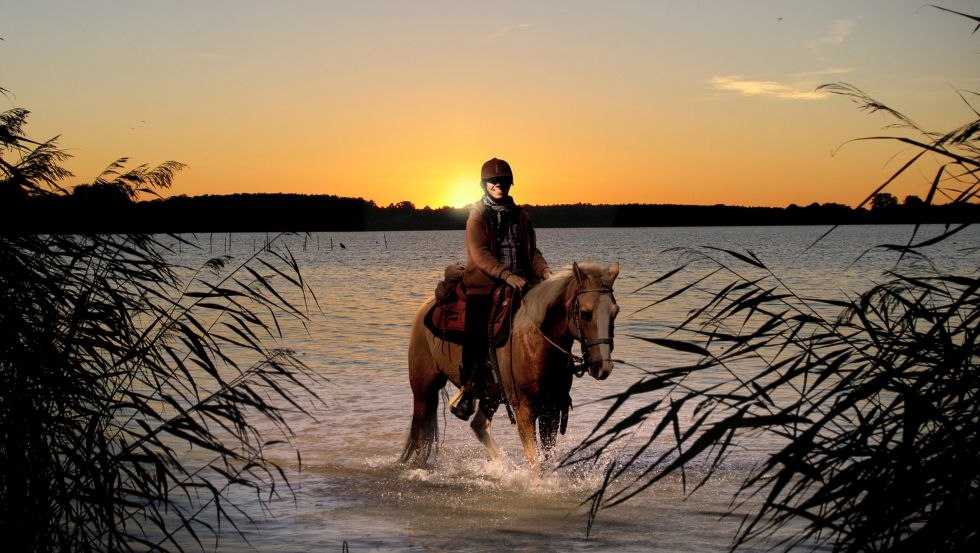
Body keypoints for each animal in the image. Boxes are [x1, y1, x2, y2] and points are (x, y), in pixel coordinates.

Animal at [400, 260, 620, 468]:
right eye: (585, 313)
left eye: (615, 312)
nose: (602, 366)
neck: (534, 342)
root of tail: (425, 307)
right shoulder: (524, 410)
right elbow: (533, 461)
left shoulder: (551, 410)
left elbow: (545, 459)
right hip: (424, 389)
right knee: (421, 436)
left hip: (490, 394)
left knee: (478, 426)